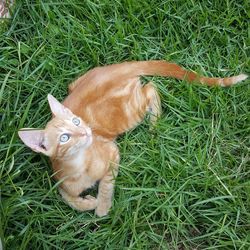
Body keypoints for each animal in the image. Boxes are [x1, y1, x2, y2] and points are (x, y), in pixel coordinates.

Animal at [18, 59, 247, 216]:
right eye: (64, 137)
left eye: (76, 121)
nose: (85, 131)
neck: (80, 166)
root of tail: (119, 68)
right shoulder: (59, 179)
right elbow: (67, 196)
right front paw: (86, 203)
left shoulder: (112, 152)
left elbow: (106, 184)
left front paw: (101, 207)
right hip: (77, 86)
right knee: (150, 87)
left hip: (127, 113)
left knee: (151, 88)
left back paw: (154, 122)